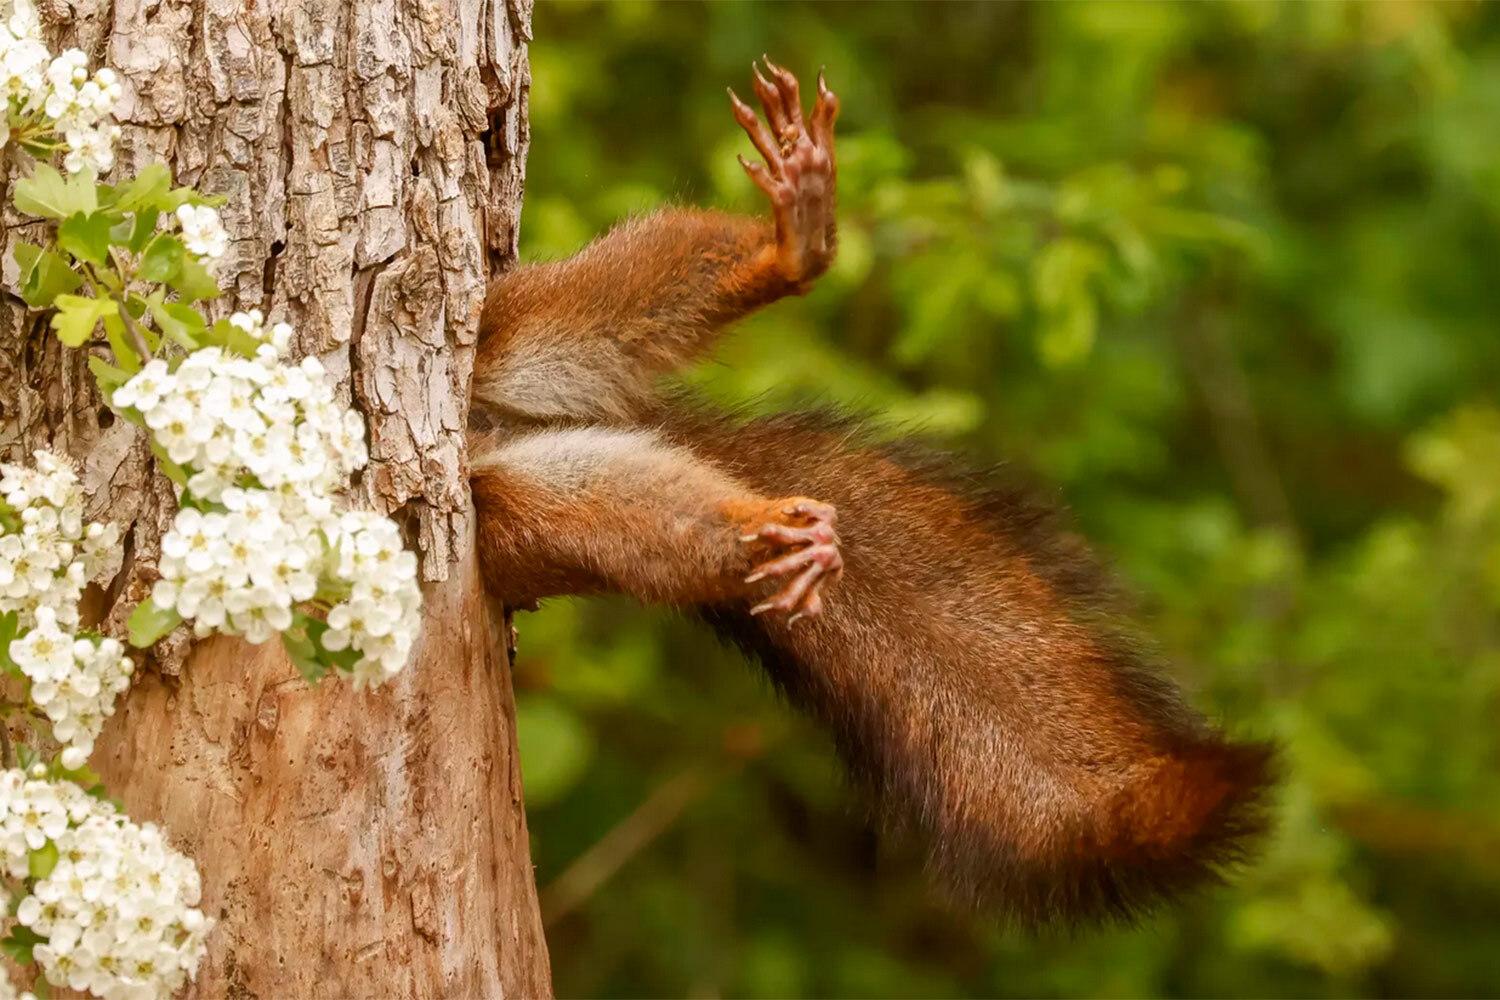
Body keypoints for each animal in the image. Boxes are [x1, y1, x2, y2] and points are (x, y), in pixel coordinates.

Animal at [465, 58, 1266, 929]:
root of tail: (489, 432)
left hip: (509, 329)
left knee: (604, 304)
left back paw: (794, 244)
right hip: (517, 510)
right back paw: (772, 532)